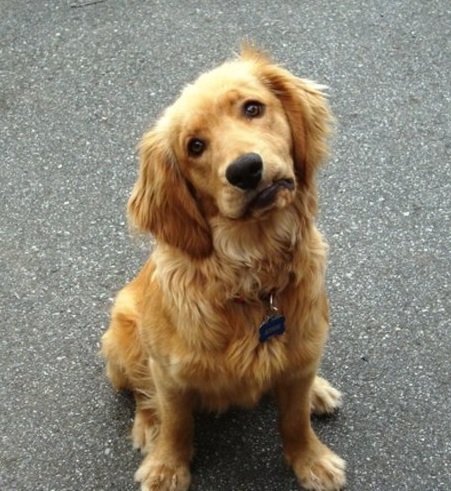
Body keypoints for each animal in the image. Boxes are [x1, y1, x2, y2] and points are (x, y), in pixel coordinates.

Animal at [101, 47, 346, 491]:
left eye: (252, 108)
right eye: (195, 146)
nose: (246, 169)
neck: (253, 274)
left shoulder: (300, 355)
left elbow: (295, 420)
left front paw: (312, 460)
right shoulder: (169, 373)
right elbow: (177, 423)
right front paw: (167, 467)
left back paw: (319, 391)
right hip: (122, 334)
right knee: (142, 394)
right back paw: (148, 426)